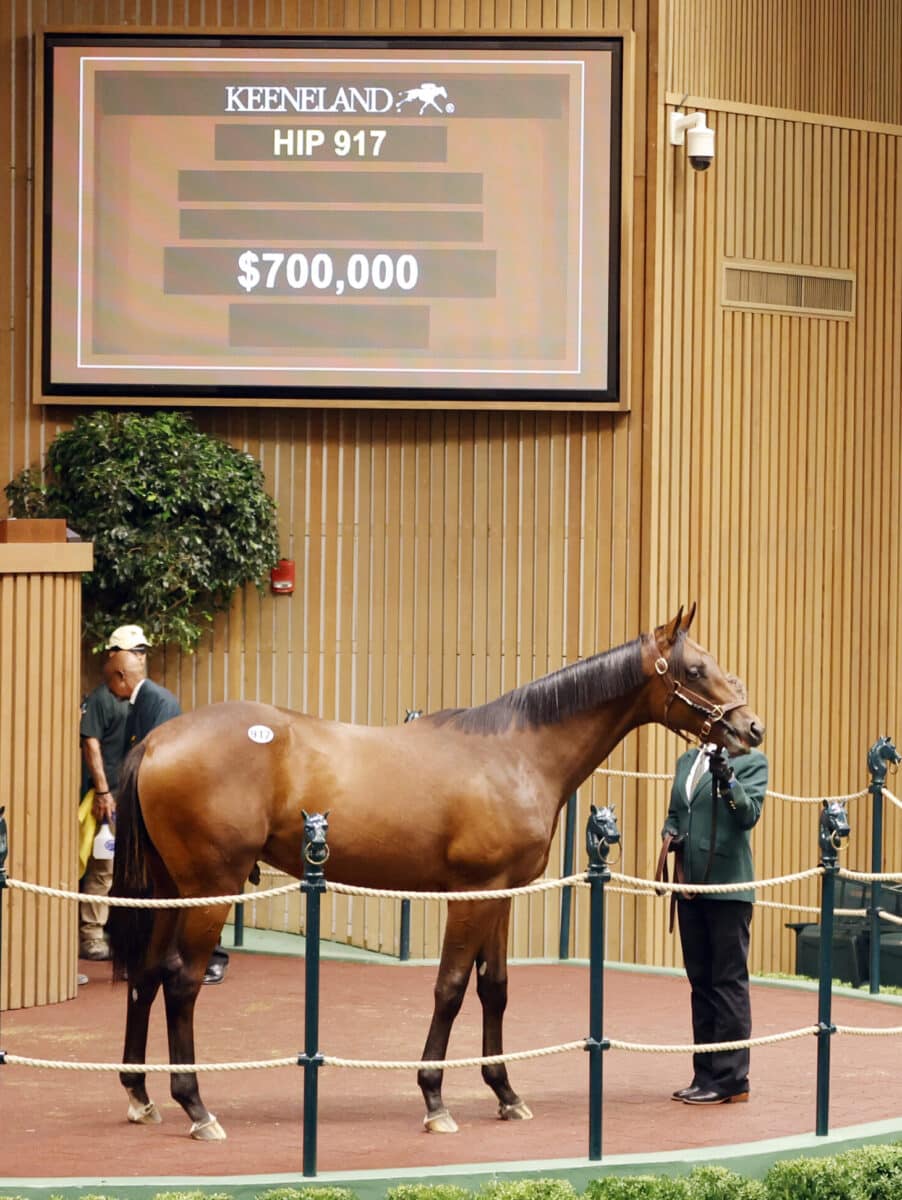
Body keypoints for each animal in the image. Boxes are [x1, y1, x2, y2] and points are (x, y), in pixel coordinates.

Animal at [109, 604, 762, 1137]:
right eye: (696, 670)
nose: (750, 728)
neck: (516, 752)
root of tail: (158, 740)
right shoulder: (471, 895)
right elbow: (450, 989)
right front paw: (434, 1099)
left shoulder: (502, 894)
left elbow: (494, 989)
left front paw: (505, 1093)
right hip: (210, 890)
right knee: (181, 982)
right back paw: (196, 1106)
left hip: (169, 891)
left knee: (146, 974)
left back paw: (141, 1094)